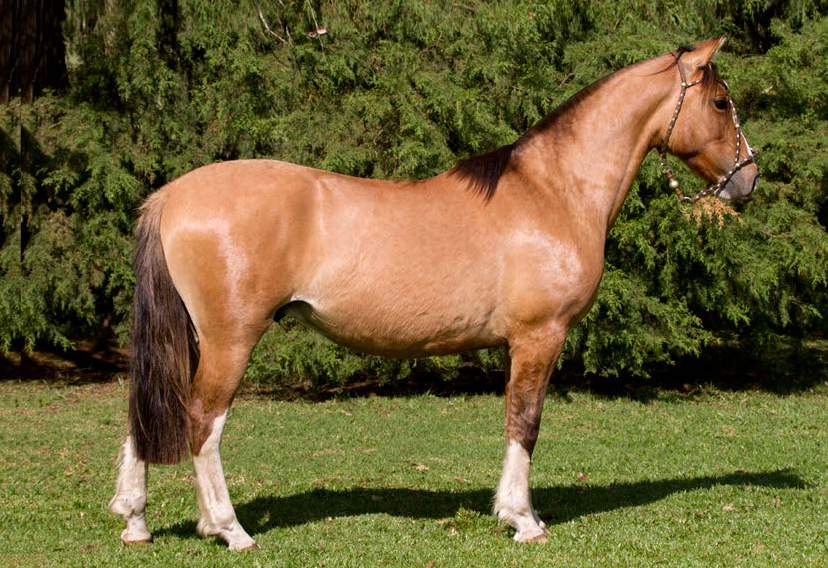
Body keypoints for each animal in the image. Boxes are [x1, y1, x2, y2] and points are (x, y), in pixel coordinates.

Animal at [108, 36, 756, 552]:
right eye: (721, 102)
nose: (747, 178)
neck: (552, 190)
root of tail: (171, 196)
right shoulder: (538, 337)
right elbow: (525, 420)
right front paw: (522, 519)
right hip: (231, 338)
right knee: (201, 420)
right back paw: (229, 529)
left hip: (191, 337)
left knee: (151, 409)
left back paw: (137, 521)